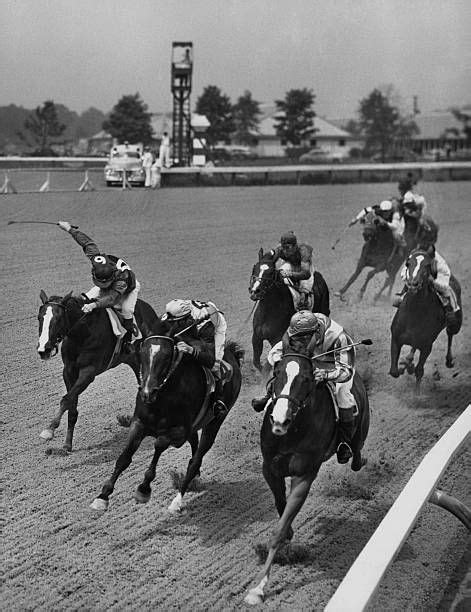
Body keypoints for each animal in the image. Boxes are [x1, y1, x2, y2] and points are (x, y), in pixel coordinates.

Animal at [37, 292, 159, 454]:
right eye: (39, 317)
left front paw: (49, 430)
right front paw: (67, 445)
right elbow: (71, 405)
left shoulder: (88, 372)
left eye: (58, 319)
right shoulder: (69, 371)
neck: (82, 333)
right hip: (133, 360)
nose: (44, 350)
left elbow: (66, 399)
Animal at [91, 322, 245, 512]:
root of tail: (233, 354)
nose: (147, 393)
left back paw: (177, 501)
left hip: (215, 422)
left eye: (166, 357)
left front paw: (143, 489)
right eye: (143, 353)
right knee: (194, 447)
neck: (162, 398)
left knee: (196, 459)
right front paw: (102, 496)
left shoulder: (178, 433)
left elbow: (159, 444)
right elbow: (124, 458)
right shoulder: (139, 423)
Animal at [245, 350, 370, 604]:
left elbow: (279, 528)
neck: (292, 431)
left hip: (359, 428)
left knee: (356, 455)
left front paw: (258, 588)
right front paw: (289, 532)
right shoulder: (269, 468)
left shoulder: (304, 475)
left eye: (305, 379)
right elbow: (280, 504)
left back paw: (356, 457)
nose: (279, 421)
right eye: (277, 373)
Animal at [390, 250, 462, 390]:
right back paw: (408, 361)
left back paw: (448, 360)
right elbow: (394, 372)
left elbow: (419, 371)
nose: (413, 284)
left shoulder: (427, 346)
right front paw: (405, 366)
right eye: (408, 263)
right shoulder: (395, 337)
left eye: (427, 265)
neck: (414, 313)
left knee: (450, 334)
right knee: (413, 347)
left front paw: (416, 393)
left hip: (456, 324)